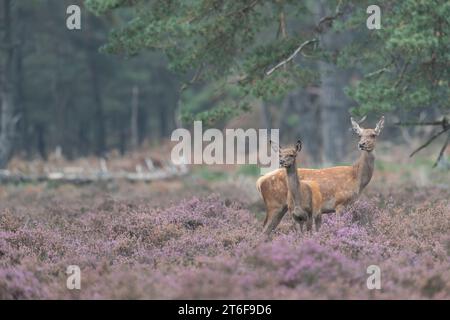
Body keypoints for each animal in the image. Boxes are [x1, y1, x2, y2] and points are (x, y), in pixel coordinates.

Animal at [256, 116, 384, 234]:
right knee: (265, 229)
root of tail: (260, 181)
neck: (356, 178)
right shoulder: (340, 203)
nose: (361, 144)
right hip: (274, 205)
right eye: (359, 135)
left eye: (373, 135)